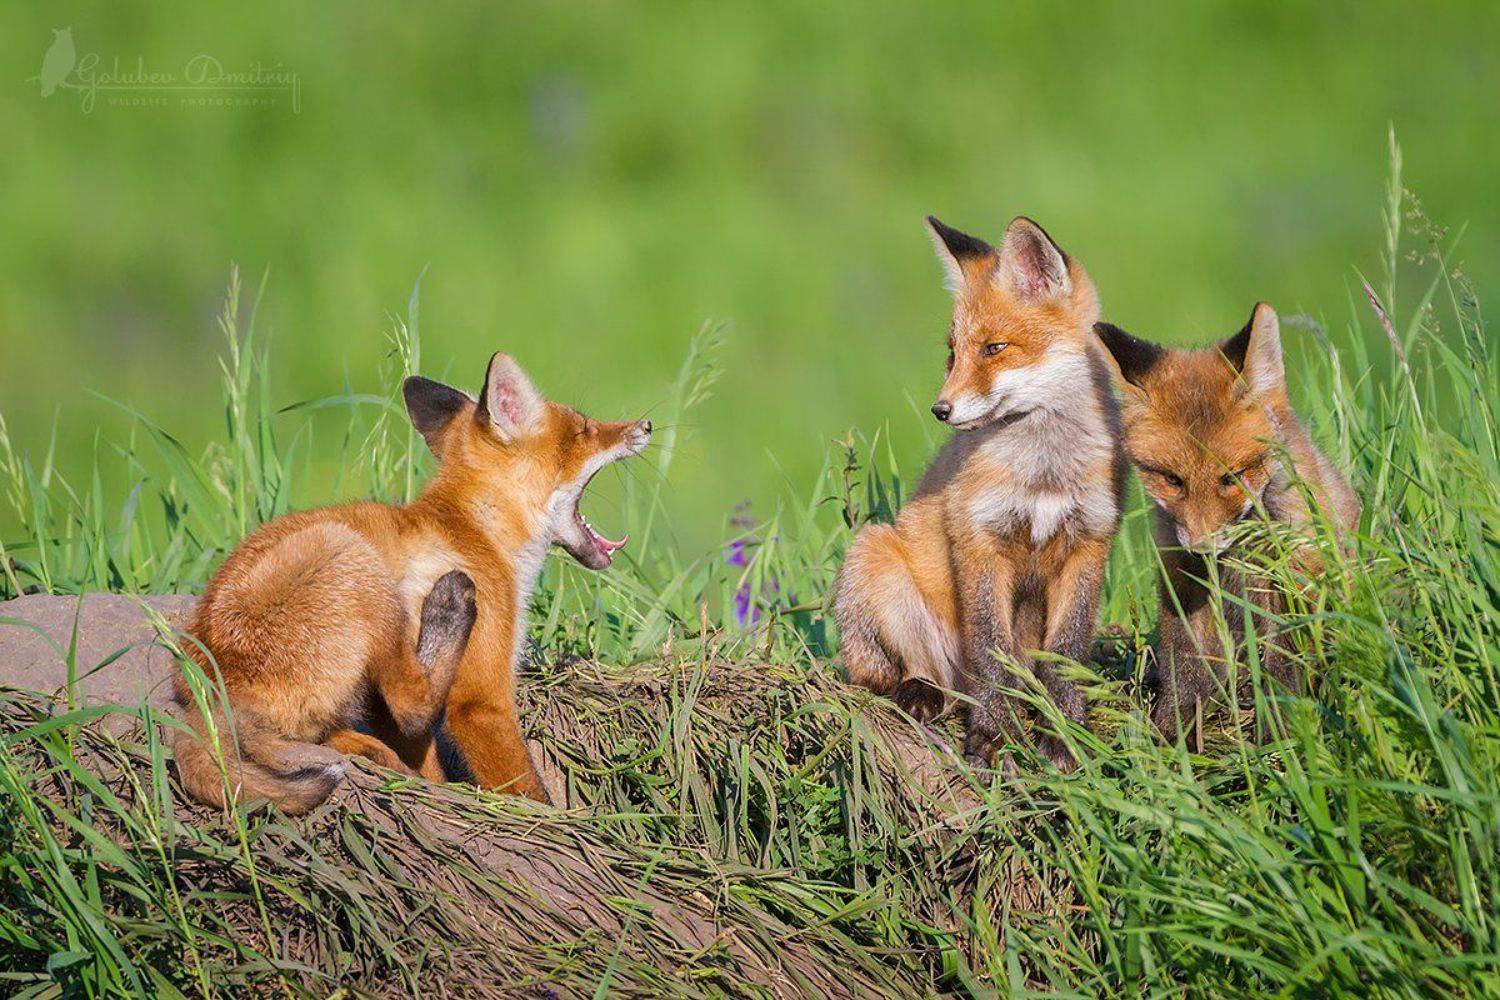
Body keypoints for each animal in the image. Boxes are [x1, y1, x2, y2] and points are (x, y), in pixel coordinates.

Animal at [172, 351, 651, 812]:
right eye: (585, 428)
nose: (646, 425)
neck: (479, 534)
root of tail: (209, 686)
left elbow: (426, 758)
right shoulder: (481, 701)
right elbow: (522, 785)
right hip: (352, 556)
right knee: (412, 707)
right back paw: (448, 608)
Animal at [835, 215, 1125, 768]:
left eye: (995, 348)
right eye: (953, 353)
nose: (940, 410)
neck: (1044, 473)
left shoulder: (1090, 540)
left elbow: (1066, 652)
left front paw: (1064, 735)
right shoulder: (979, 537)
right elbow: (991, 651)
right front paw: (993, 734)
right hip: (876, 559)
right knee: (914, 675)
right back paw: (921, 693)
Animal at [1094, 304, 1360, 740]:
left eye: (1231, 477)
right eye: (1172, 479)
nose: (1203, 545)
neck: (1236, 554)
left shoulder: (1294, 573)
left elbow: (1284, 661)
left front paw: (1279, 731)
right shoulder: (1181, 572)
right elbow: (1184, 662)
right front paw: (1175, 729)